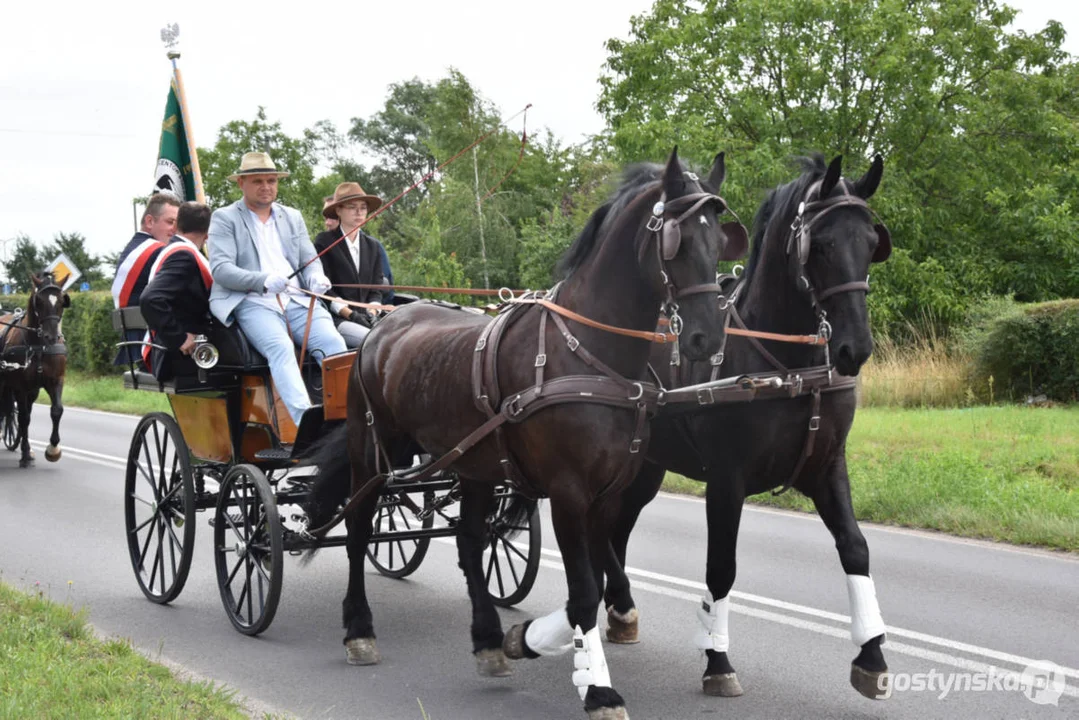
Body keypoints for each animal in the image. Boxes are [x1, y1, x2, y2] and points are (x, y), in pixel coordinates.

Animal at [0, 274, 69, 468]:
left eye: (62, 301)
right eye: (39, 301)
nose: (52, 337)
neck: (39, 347)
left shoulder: (55, 380)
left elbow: (57, 410)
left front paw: (53, 449)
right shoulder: (20, 387)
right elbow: (23, 419)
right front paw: (24, 455)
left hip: (32, 390)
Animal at [304, 147, 746, 720]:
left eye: (719, 241)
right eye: (676, 239)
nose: (706, 338)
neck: (587, 352)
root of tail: (384, 322)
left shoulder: (608, 492)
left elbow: (591, 583)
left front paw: (527, 640)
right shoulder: (568, 492)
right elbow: (583, 592)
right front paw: (598, 689)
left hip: (471, 463)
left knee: (469, 542)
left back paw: (488, 640)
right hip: (373, 449)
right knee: (359, 527)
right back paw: (359, 629)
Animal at [599, 152, 893, 699]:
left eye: (871, 243)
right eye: (821, 244)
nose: (855, 348)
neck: (787, 364)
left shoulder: (827, 466)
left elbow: (855, 548)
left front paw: (871, 652)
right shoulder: (727, 479)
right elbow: (722, 567)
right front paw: (717, 659)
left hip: (646, 467)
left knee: (616, 527)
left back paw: (621, 609)